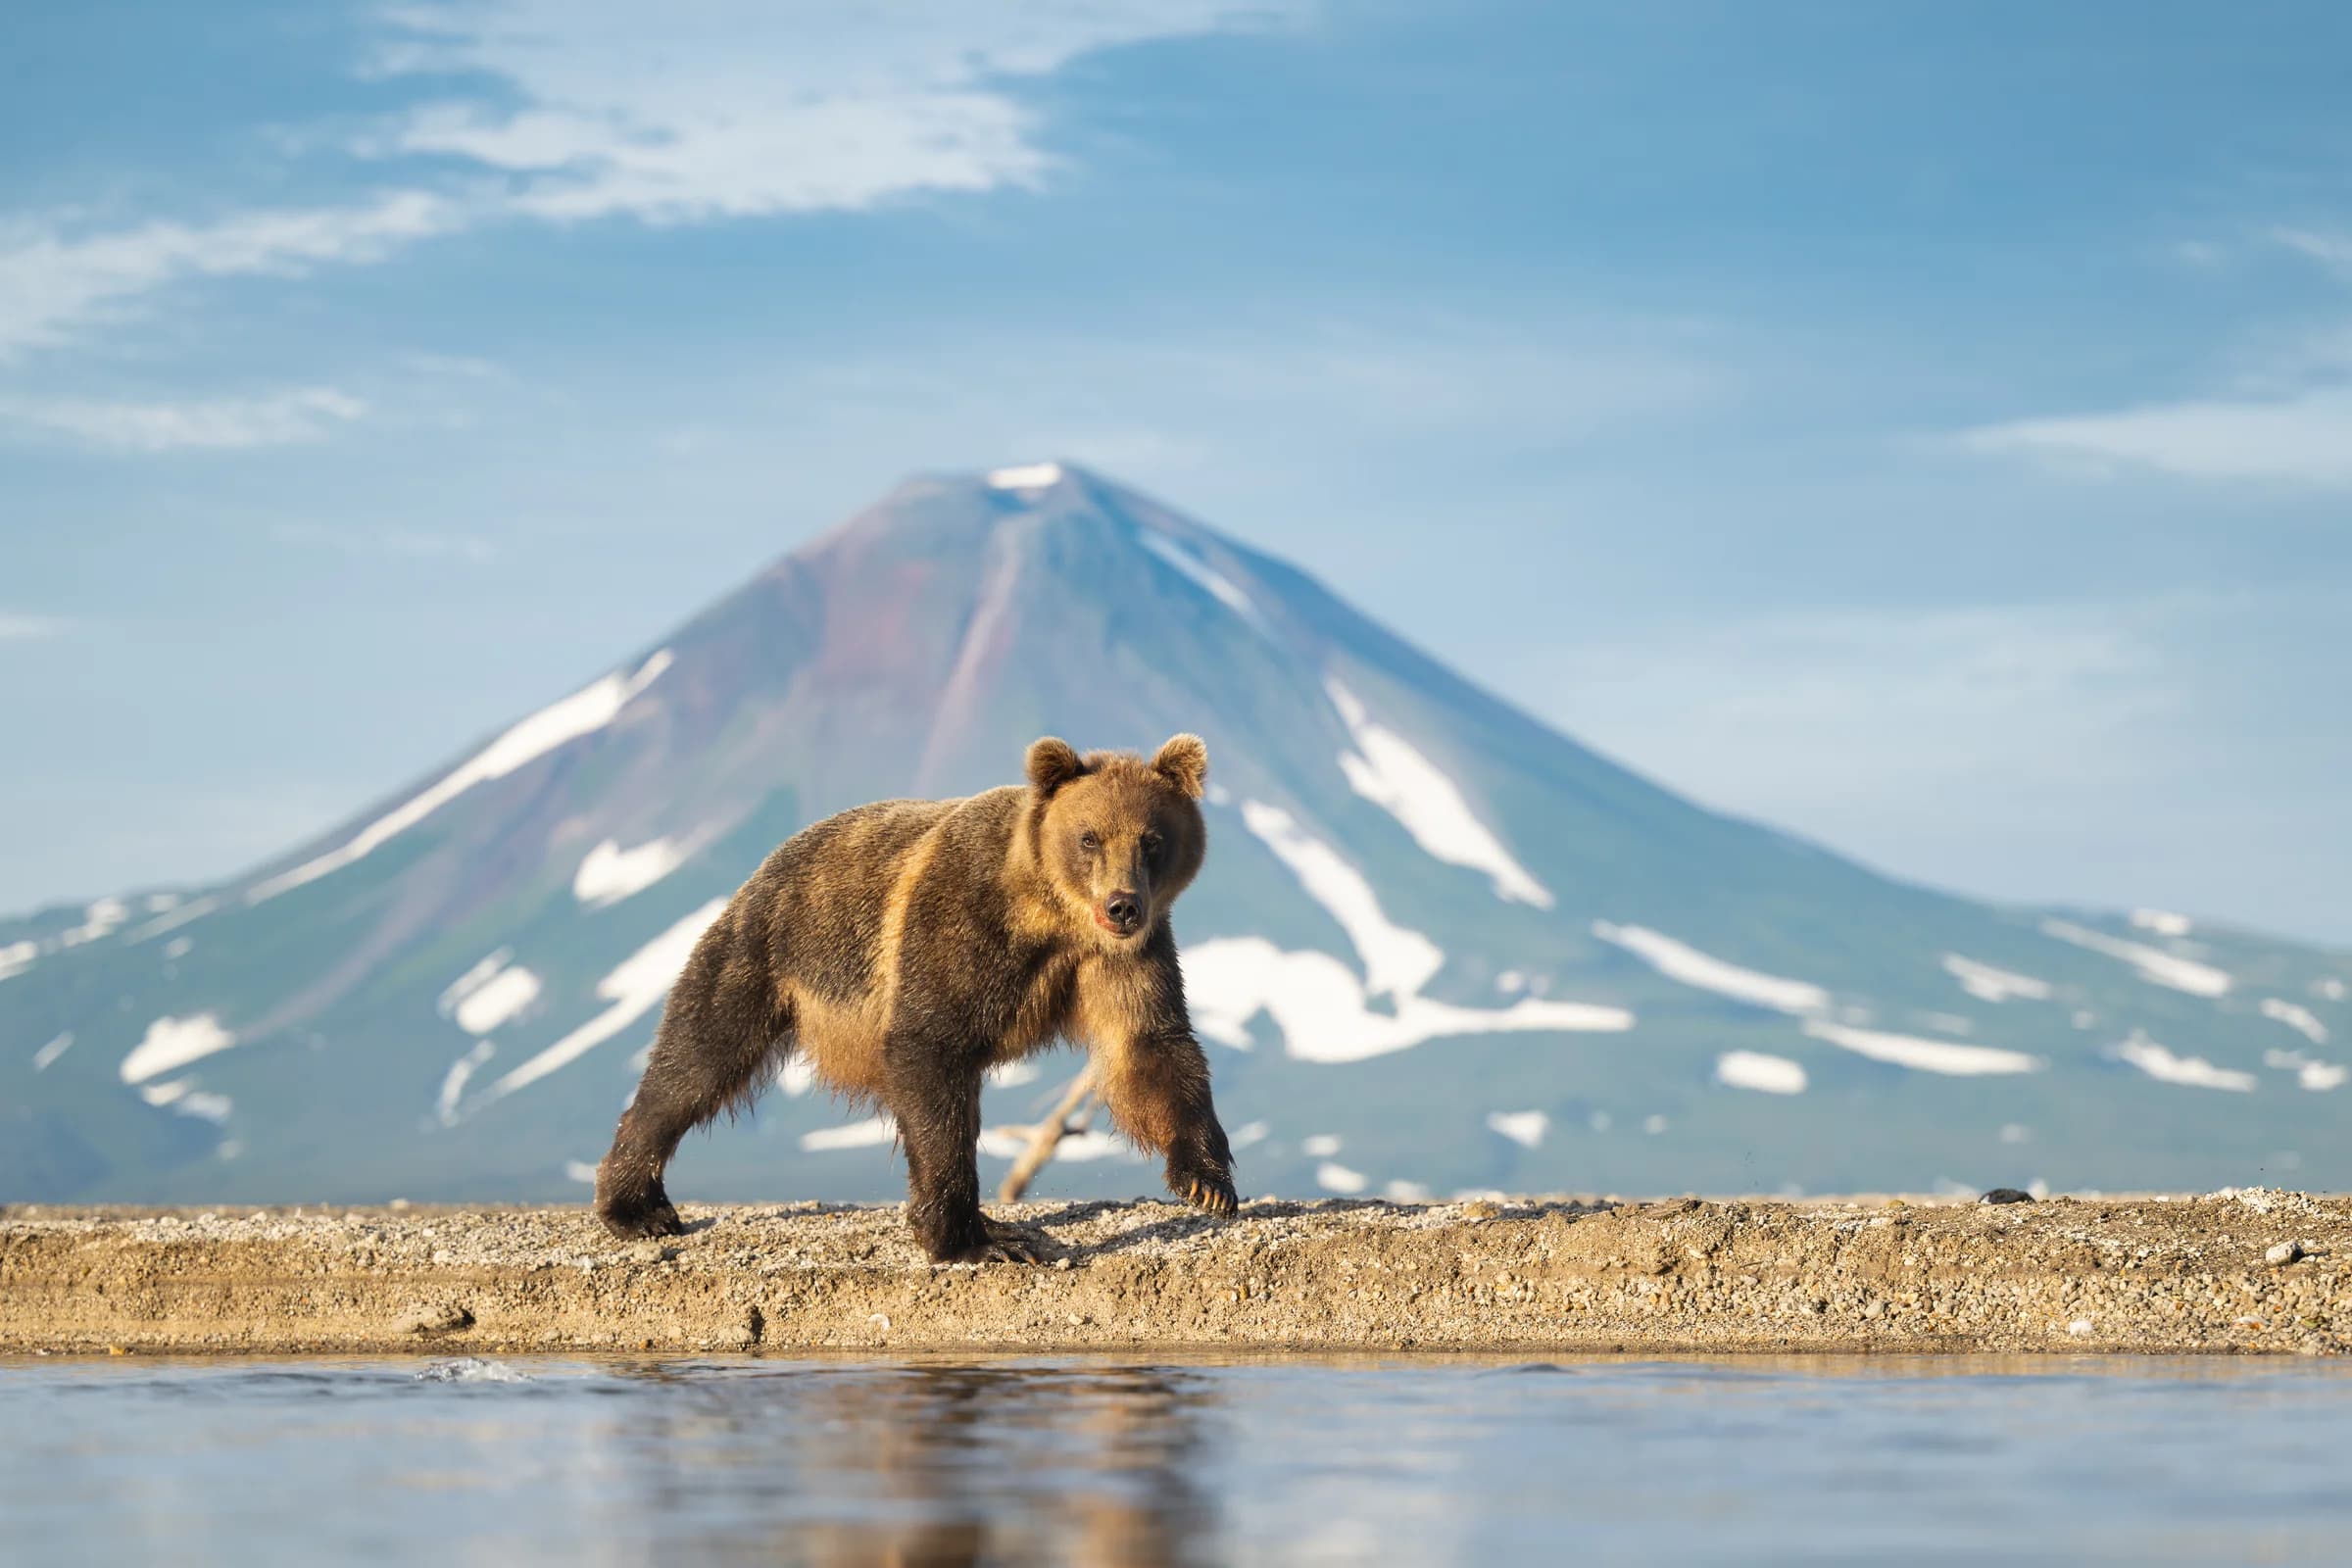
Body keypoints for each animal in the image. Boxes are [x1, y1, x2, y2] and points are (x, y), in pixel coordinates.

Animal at [593, 733, 1238, 1263]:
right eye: (1089, 837)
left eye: (1151, 840)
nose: (1122, 905)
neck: (1051, 916)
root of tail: (772, 859)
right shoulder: (960, 925)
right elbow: (930, 1055)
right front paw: (974, 1239)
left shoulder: (1121, 959)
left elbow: (1148, 1046)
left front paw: (1207, 1182)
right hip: (765, 951)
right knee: (698, 1059)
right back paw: (637, 1207)